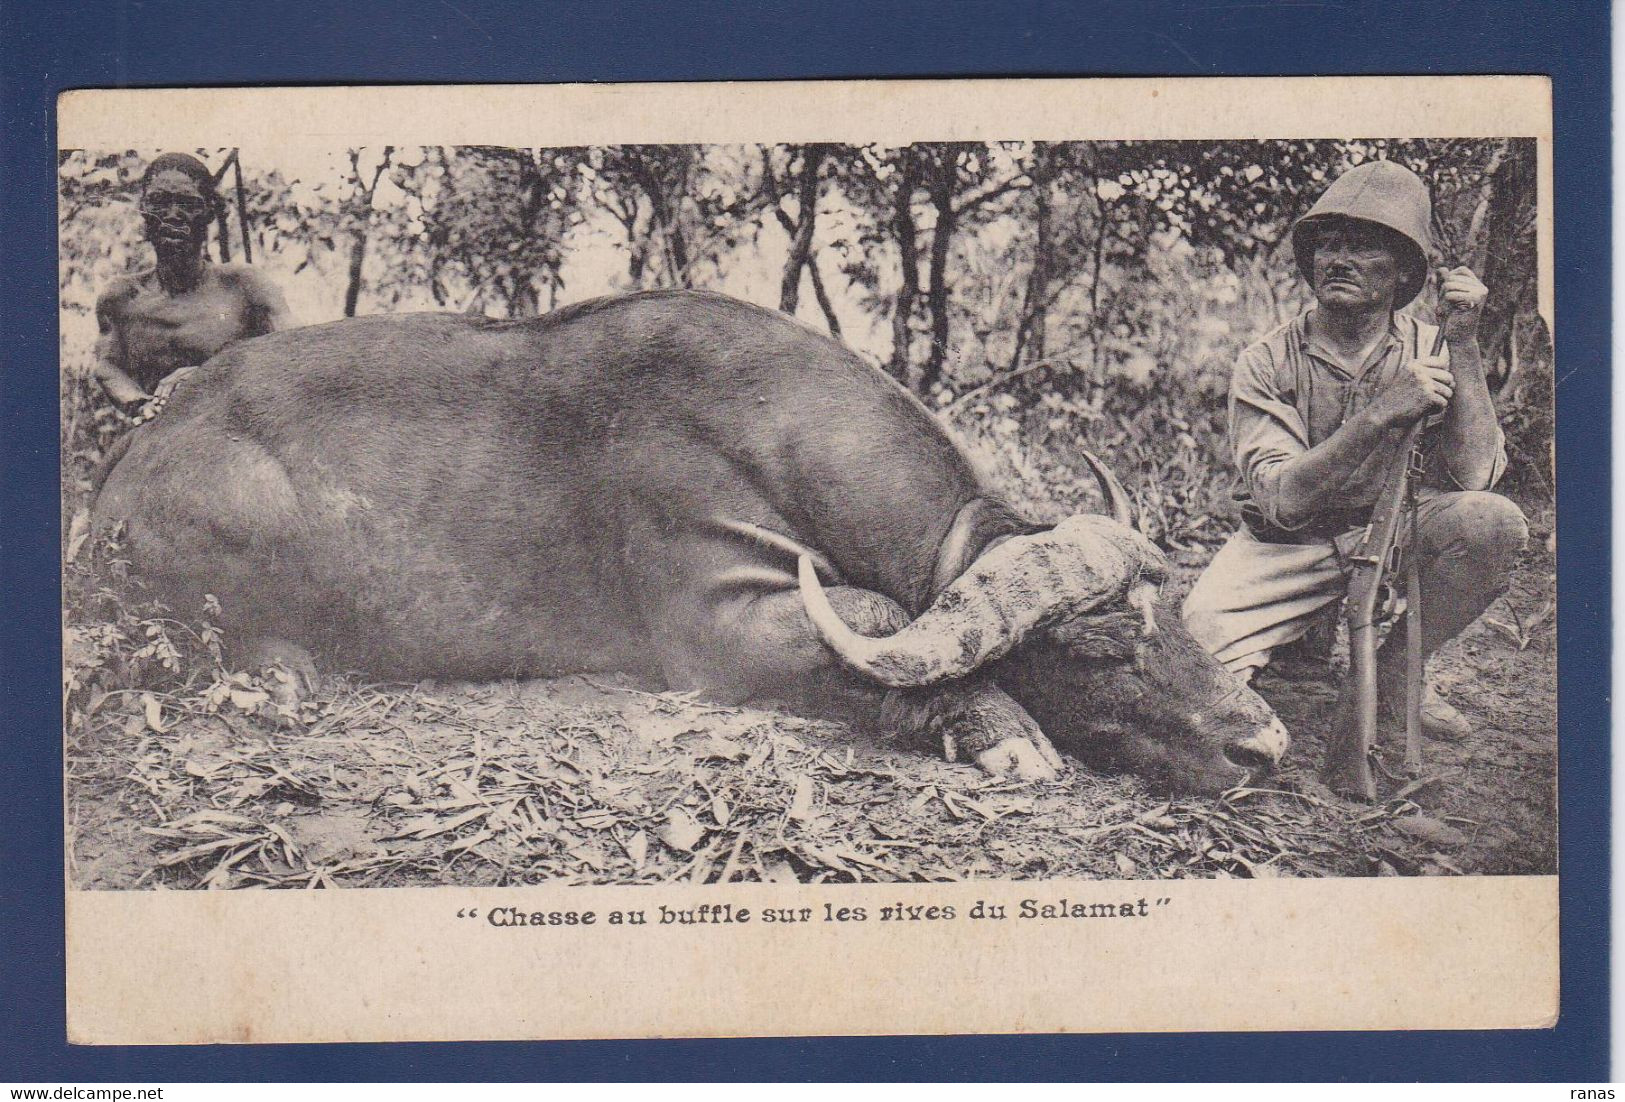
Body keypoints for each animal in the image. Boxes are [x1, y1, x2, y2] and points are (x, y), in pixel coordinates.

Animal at [95, 294, 1287, 793]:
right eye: (1099, 648)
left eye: (1177, 620)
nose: (1262, 746)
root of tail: (146, 440)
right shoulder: (721, 625)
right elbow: (880, 622)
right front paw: (1000, 728)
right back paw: (284, 674)